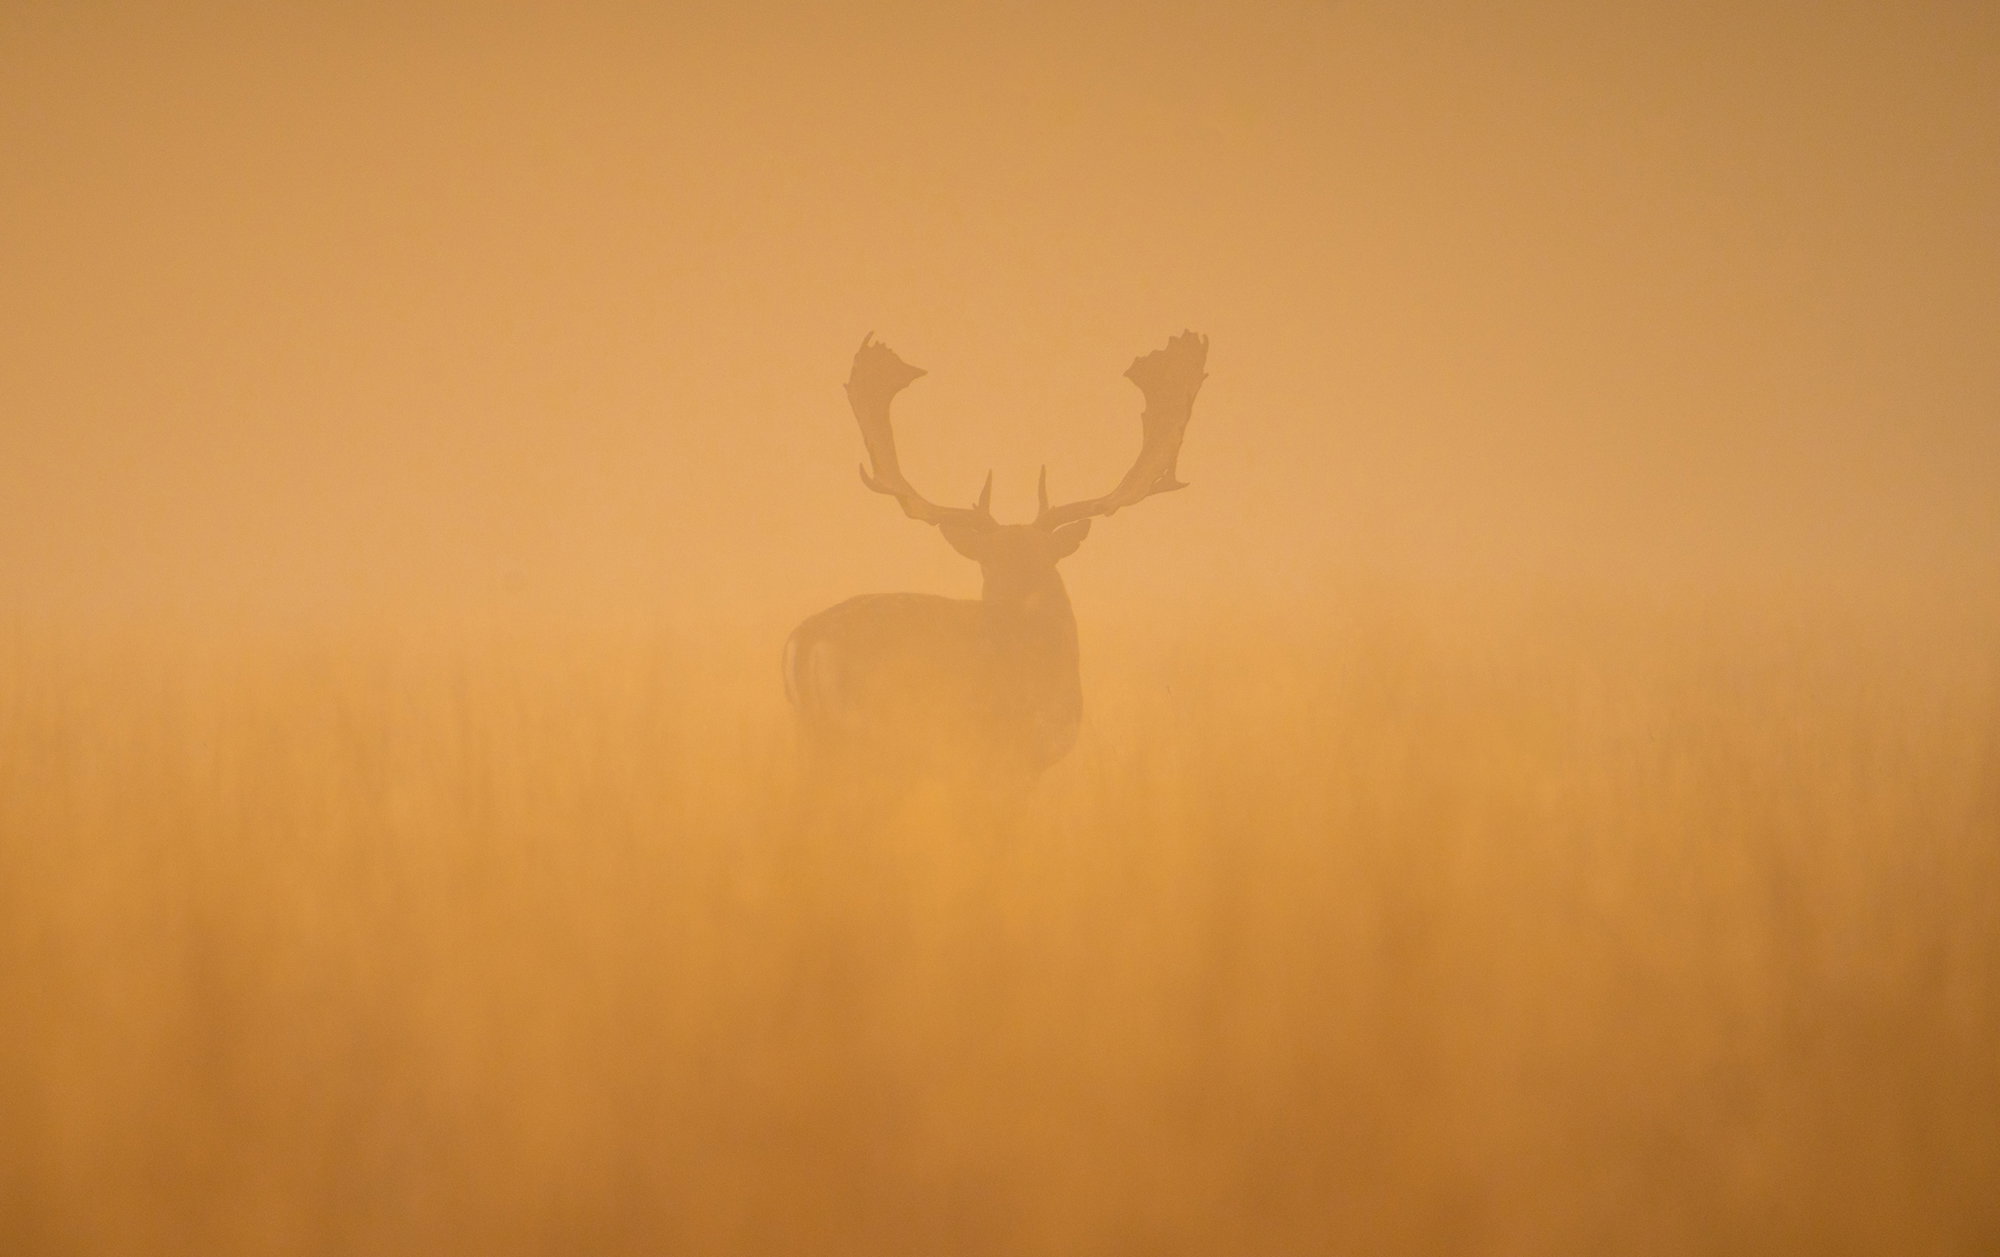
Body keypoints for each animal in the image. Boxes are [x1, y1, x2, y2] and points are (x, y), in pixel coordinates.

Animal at [784, 330, 1209, 798]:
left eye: (1042, 560)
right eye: (988, 565)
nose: (1009, 617)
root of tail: (805, 641)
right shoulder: (1011, 760)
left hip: (812, 738)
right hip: (876, 738)